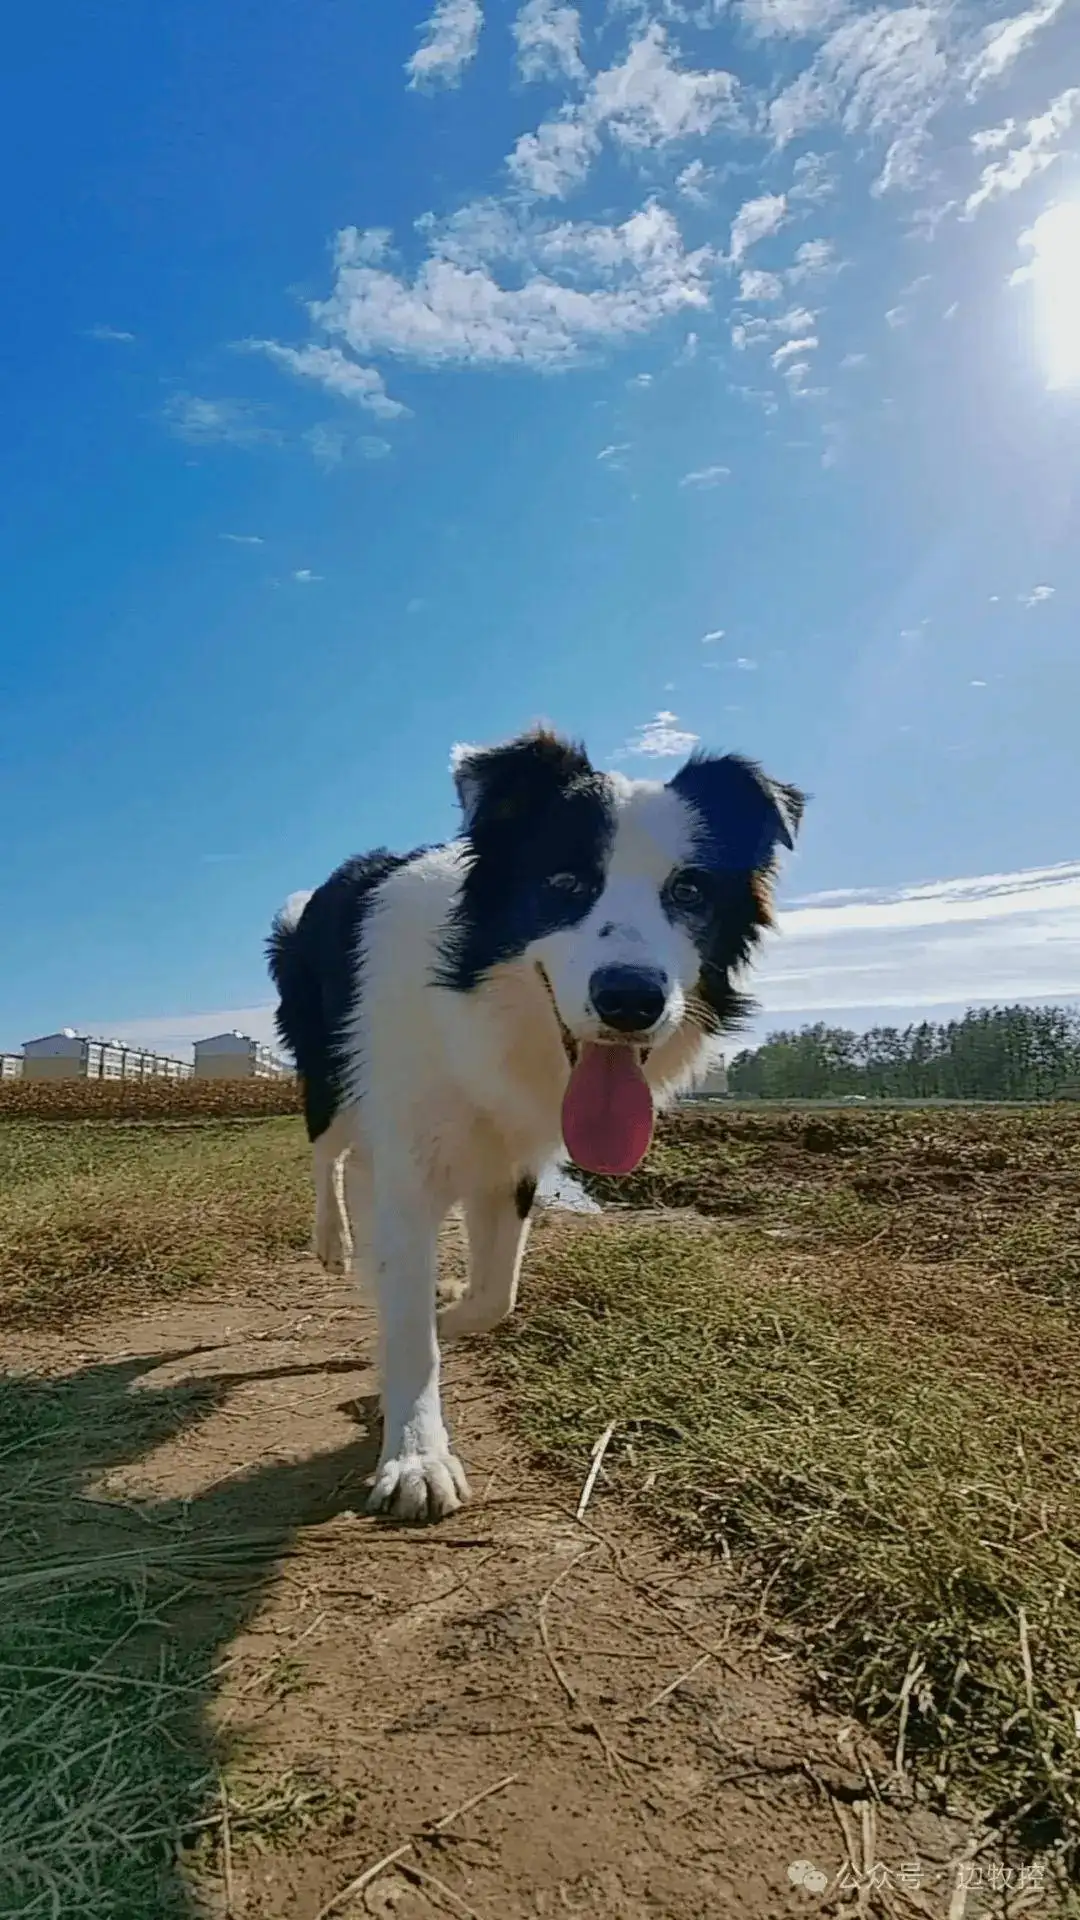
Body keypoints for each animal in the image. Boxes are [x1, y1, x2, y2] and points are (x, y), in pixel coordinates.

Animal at [267, 725, 799, 1520]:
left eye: (690, 891)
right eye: (566, 884)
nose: (630, 1000)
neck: (479, 1009)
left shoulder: (513, 1161)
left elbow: (495, 1297)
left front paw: (438, 1315)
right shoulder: (412, 1156)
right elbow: (411, 1322)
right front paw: (416, 1455)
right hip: (330, 1075)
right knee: (325, 1154)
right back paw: (334, 1241)